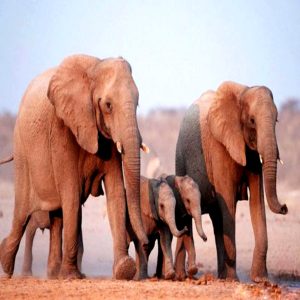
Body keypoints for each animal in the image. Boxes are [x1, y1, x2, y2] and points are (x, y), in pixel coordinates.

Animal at [0, 53, 149, 278]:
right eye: (108, 105)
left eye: (138, 103)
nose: (145, 241)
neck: (94, 70)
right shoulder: (61, 129)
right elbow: (71, 193)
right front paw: (71, 276)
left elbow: (115, 192)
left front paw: (123, 269)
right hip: (23, 152)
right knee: (22, 213)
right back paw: (7, 268)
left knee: (57, 214)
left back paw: (53, 274)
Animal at [176, 81, 288, 282]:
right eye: (252, 120)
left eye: (277, 121)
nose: (285, 207)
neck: (243, 93)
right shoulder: (219, 146)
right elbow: (227, 200)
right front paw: (233, 280)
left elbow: (257, 202)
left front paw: (261, 280)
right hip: (180, 158)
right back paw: (182, 276)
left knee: (216, 220)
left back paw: (219, 276)